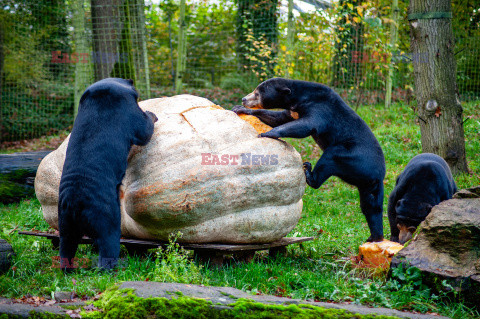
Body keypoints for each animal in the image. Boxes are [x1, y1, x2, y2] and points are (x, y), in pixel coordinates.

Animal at [57, 77, 157, 270]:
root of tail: (75, 201)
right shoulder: (131, 112)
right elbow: (145, 129)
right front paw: (152, 114)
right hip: (106, 216)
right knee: (108, 244)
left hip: (65, 222)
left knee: (66, 246)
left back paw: (68, 270)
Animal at [232, 77, 386, 242]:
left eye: (257, 93)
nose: (244, 99)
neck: (298, 98)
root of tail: (378, 175)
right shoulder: (293, 112)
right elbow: (278, 117)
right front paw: (239, 109)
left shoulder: (320, 108)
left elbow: (306, 125)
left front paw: (267, 133)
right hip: (367, 185)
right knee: (371, 207)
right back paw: (374, 237)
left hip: (352, 156)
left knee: (331, 156)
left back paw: (309, 172)